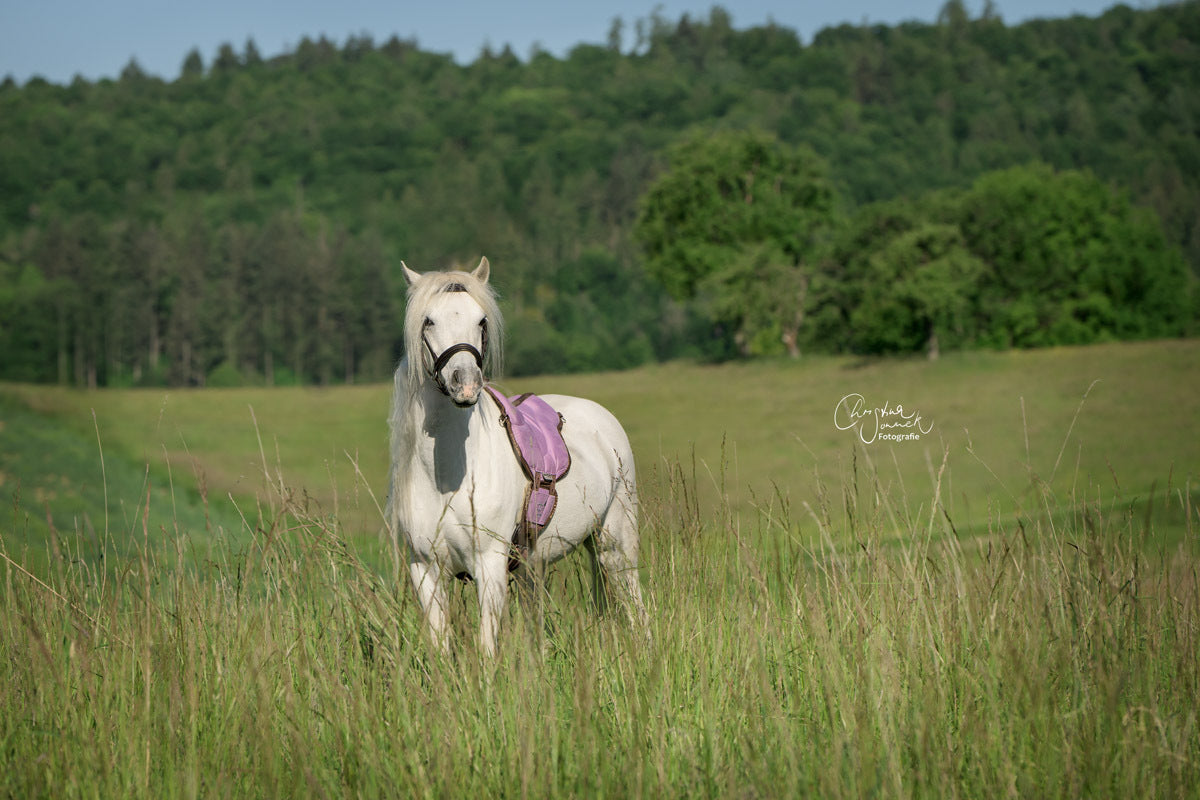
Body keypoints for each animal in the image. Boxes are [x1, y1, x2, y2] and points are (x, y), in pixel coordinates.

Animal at [385, 257, 647, 657]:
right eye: (428, 320)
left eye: (481, 320)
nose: (466, 384)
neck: (447, 476)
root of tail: (602, 417)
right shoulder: (425, 569)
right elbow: (441, 648)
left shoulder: (489, 566)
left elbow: (486, 648)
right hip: (536, 567)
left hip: (616, 544)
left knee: (636, 607)